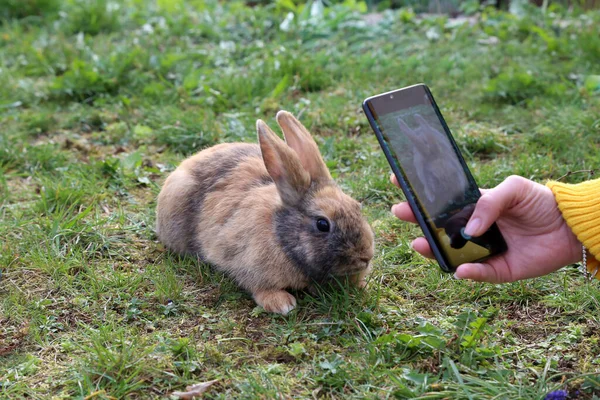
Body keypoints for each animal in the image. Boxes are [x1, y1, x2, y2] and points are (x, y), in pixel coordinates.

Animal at [157, 111, 372, 314]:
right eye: (322, 224)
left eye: (357, 206)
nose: (365, 257)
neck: (281, 235)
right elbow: (259, 288)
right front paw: (282, 304)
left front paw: (361, 286)